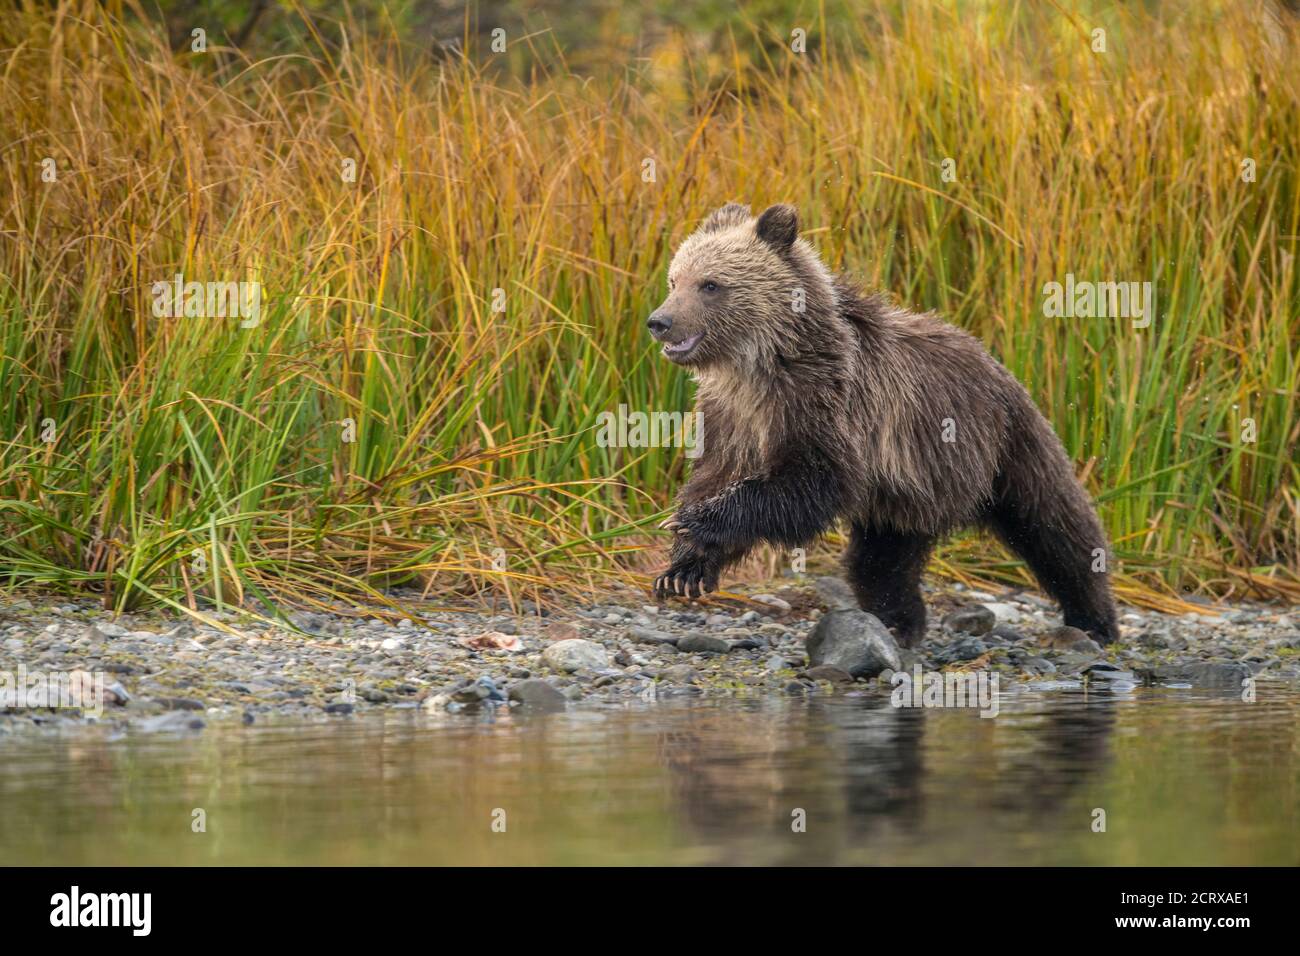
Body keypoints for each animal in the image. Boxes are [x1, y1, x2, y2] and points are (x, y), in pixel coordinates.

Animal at [650, 202, 1118, 650]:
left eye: (710, 285)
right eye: (675, 280)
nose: (659, 321)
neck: (759, 367)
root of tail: (996, 361)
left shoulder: (826, 406)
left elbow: (808, 484)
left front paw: (693, 522)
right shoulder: (731, 420)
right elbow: (715, 476)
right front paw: (682, 569)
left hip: (1008, 444)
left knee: (1055, 525)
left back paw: (1095, 619)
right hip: (908, 489)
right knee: (883, 559)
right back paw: (899, 620)